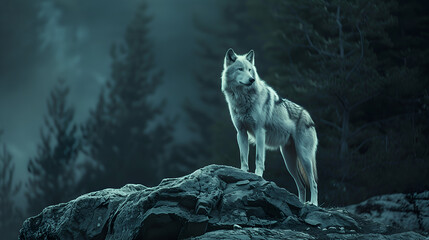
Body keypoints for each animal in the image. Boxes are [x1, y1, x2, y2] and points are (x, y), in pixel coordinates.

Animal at [221, 47, 318, 205]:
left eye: (250, 70)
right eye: (240, 69)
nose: (252, 79)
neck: (243, 100)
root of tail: (309, 116)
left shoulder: (259, 132)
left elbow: (259, 159)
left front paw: (258, 176)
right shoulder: (241, 132)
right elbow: (243, 158)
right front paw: (243, 174)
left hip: (304, 158)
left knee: (313, 183)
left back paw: (313, 204)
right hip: (289, 161)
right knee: (302, 185)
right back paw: (300, 203)